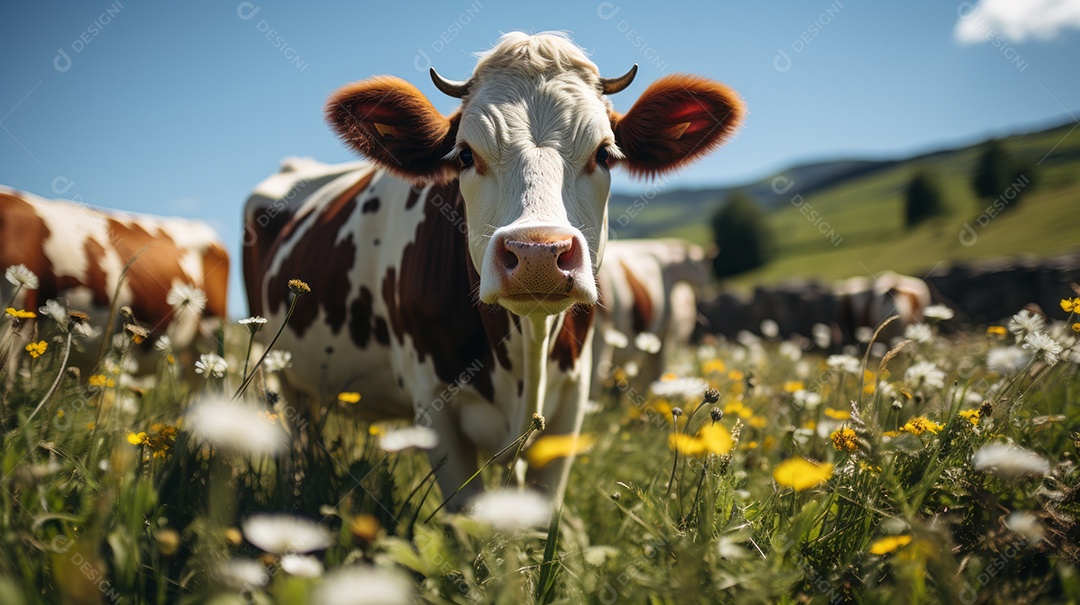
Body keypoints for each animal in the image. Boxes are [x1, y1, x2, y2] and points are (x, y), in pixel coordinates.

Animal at [587, 237, 712, 401]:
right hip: (602, 337)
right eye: (706, 265)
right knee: (595, 378)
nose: (709, 285)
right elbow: (654, 374)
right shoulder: (663, 336)